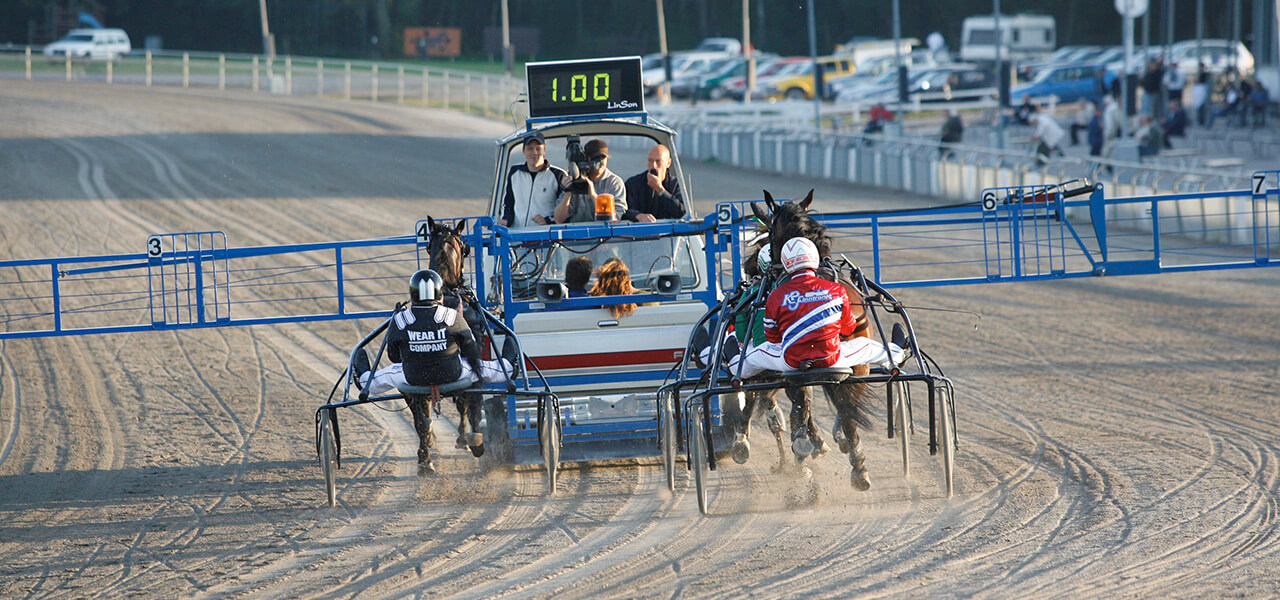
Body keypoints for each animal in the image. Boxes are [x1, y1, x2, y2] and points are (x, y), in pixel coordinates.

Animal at [747, 189, 880, 488]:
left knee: (811, 402)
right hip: (859, 363)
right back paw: (857, 463)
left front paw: (812, 443)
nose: (754, 269)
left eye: (768, 235)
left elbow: (801, 402)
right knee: (846, 407)